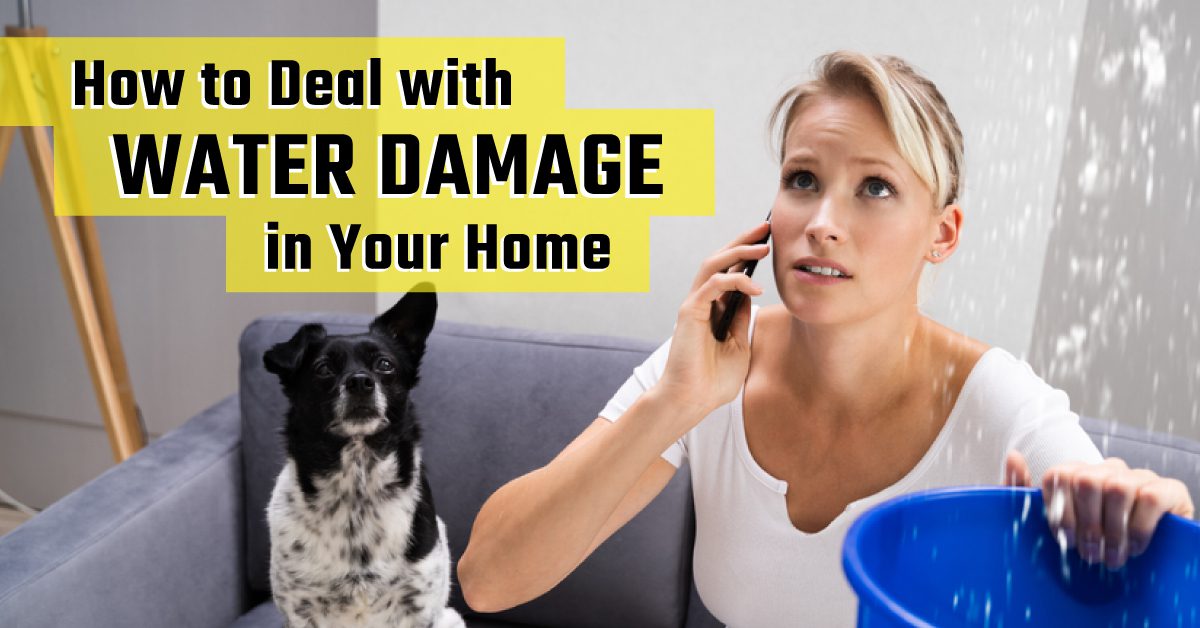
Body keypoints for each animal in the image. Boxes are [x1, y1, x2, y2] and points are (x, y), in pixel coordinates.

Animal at [262, 285, 463, 628]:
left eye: (384, 364)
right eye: (323, 368)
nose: (359, 382)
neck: (357, 490)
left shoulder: (419, 607)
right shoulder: (301, 610)